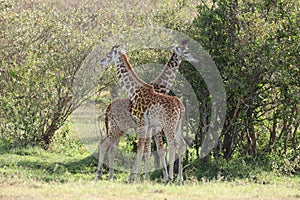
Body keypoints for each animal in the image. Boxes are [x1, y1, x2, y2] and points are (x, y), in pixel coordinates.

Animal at [94, 40, 197, 181]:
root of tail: (108, 107)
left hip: (130, 127)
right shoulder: (149, 126)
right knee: (107, 144)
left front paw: (141, 178)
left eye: (109, 55)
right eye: (185, 51)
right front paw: (143, 177)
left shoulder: (148, 126)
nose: (101, 62)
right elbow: (147, 149)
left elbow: (147, 149)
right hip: (120, 127)